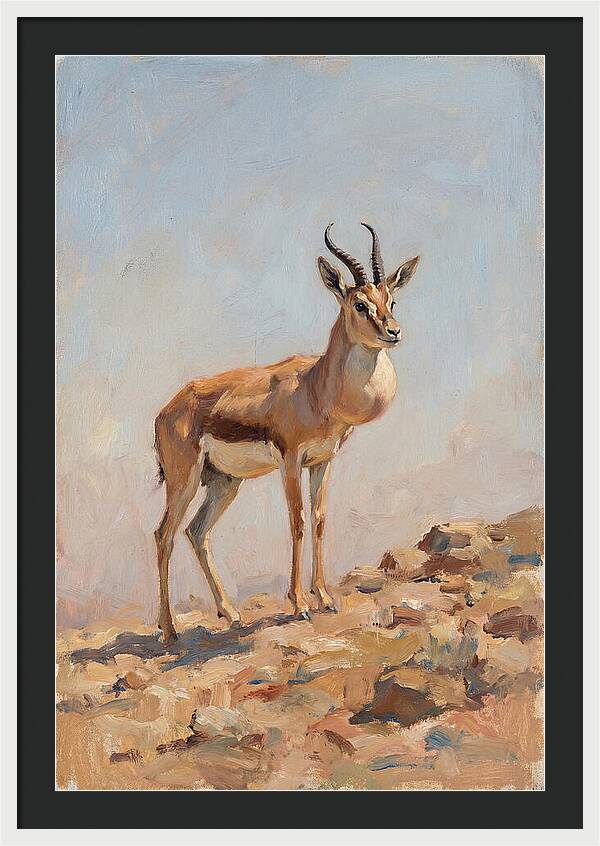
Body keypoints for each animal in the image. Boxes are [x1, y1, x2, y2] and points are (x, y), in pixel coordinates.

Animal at [153, 223, 419, 643]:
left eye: (390, 298)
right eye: (359, 304)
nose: (393, 332)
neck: (315, 388)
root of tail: (167, 410)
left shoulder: (323, 461)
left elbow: (320, 520)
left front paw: (324, 597)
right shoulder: (291, 460)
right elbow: (297, 522)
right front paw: (299, 604)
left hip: (224, 482)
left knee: (196, 532)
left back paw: (231, 615)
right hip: (185, 479)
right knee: (163, 535)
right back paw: (169, 630)